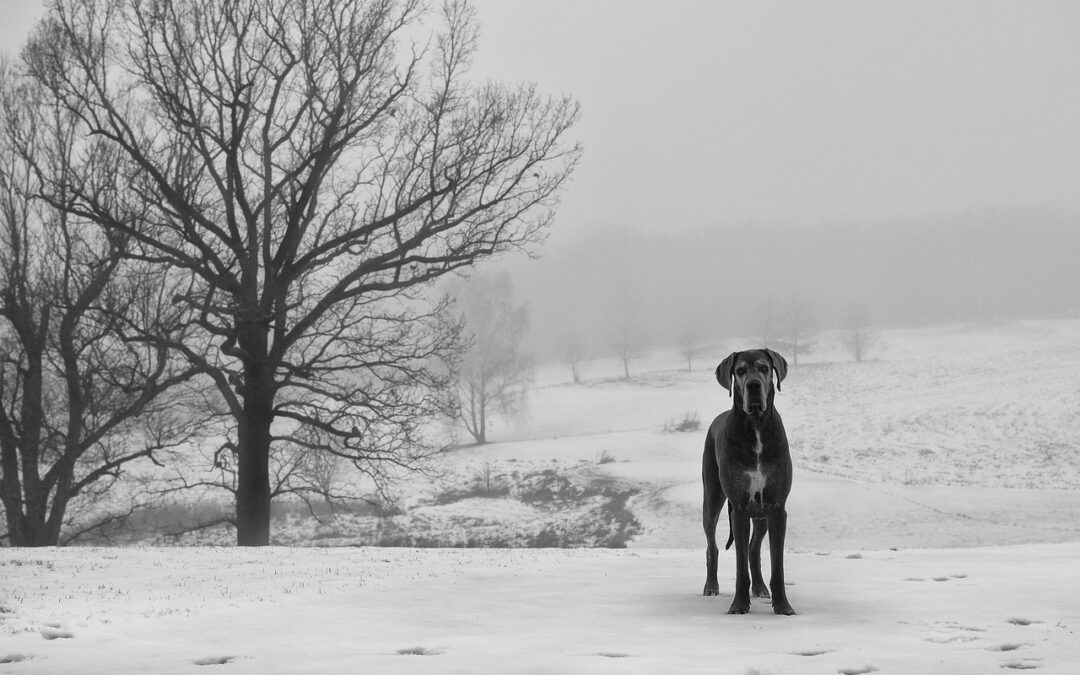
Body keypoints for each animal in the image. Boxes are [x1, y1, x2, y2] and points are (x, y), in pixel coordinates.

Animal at [699, 349, 794, 613]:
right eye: (740, 371)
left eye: (764, 368)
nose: (753, 385)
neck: (756, 426)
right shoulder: (740, 508)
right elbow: (740, 567)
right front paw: (739, 605)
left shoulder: (776, 507)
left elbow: (777, 565)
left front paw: (783, 606)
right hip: (712, 498)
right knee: (712, 547)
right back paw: (711, 586)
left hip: (761, 514)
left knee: (754, 549)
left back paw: (760, 587)